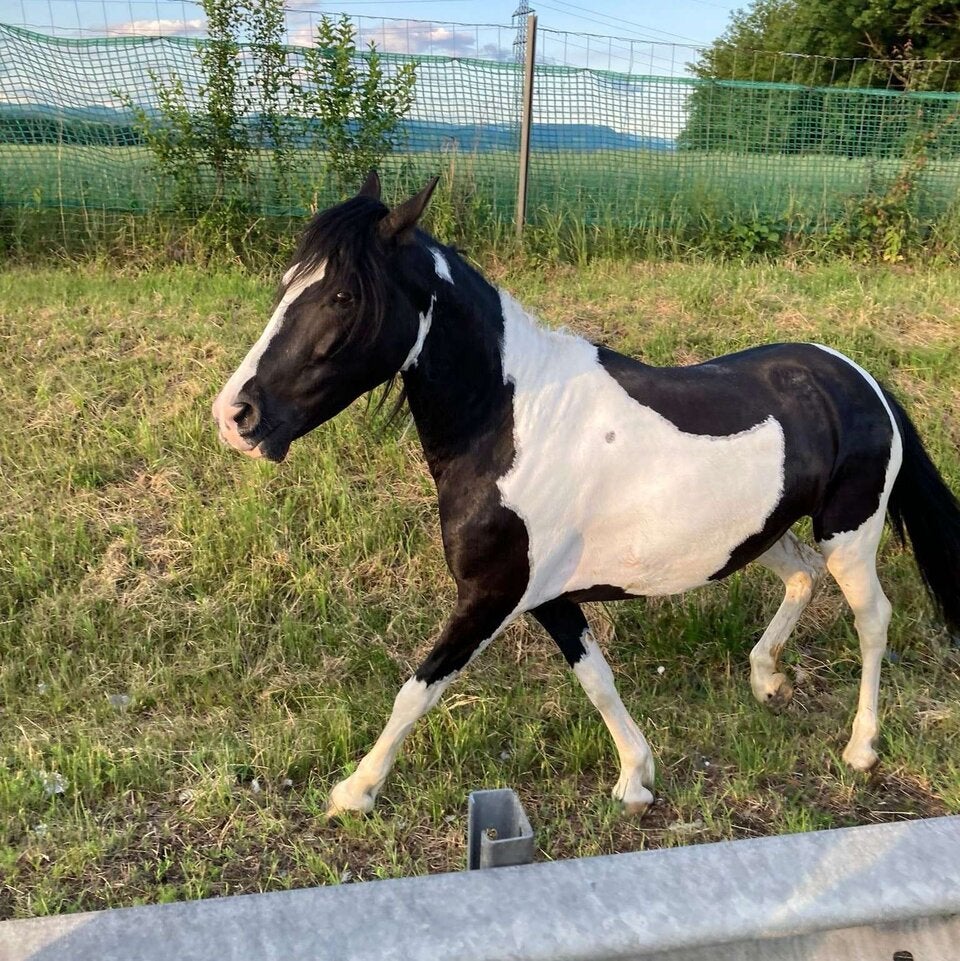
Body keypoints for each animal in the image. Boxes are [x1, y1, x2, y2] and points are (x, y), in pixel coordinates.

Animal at [212, 172, 960, 819]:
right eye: (286, 284)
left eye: (343, 297)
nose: (235, 416)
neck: (511, 422)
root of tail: (863, 380)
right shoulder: (547, 595)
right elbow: (595, 677)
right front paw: (636, 779)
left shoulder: (492, 594)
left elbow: (418, 687)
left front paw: (355, 791)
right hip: (767, 533)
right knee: (803, 579)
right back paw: (765, 679)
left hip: (850, 535)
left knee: (872, 619)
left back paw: (861, 748)